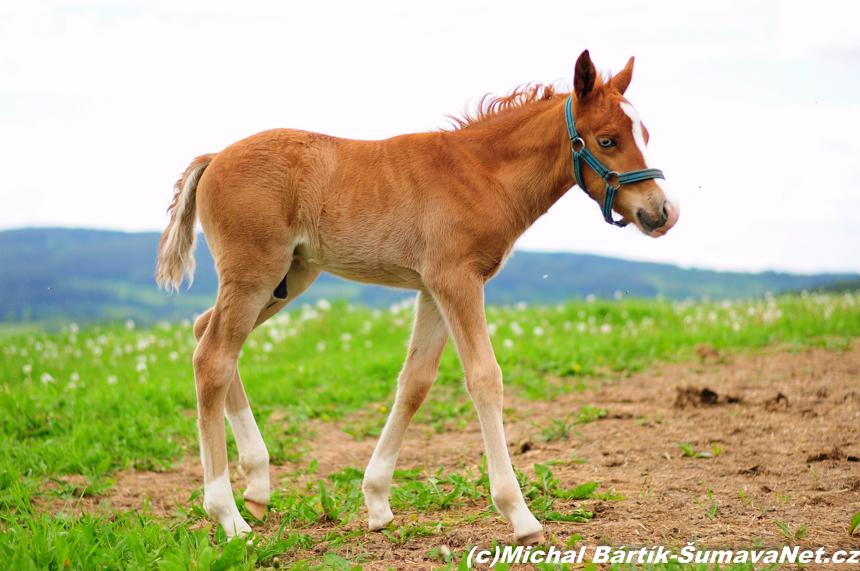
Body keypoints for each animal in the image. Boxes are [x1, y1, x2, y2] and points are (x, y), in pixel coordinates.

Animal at [155, 50, 680, 544]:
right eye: (607, 140)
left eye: (645, 133)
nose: (663, 212)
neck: (481, 172)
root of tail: (214, 156)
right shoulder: (457, 280)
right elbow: (484, 378)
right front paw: (520, 515)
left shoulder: (432, 288)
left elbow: (415, 383)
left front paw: (376, 501)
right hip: (255, 273)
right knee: (213, 358)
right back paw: (228, 515)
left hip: (290, 276)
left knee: (206, 332)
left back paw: (259, 485)